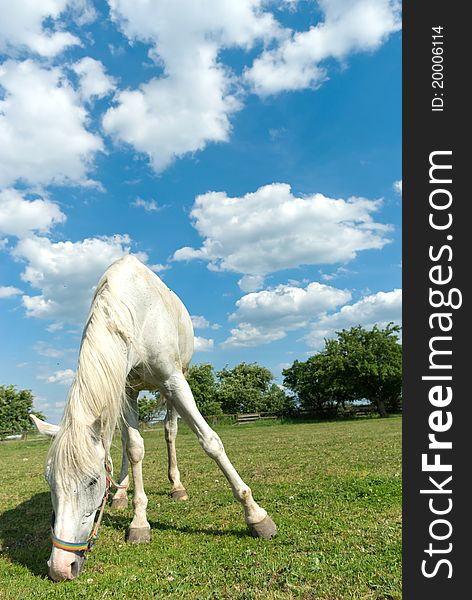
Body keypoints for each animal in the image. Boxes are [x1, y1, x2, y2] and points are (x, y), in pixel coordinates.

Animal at [31, 256, 274, 580]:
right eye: (49, 482)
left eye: (92, 482)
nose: (60, 567)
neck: (133, 313)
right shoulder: (124, 389)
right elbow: (134, 448)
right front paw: (138, 521)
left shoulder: (174, 382)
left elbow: (210, 441)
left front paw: (256, 515)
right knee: (123, 442)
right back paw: (121, 494)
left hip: (174, 385)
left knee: (171, 431)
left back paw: (177, 488)